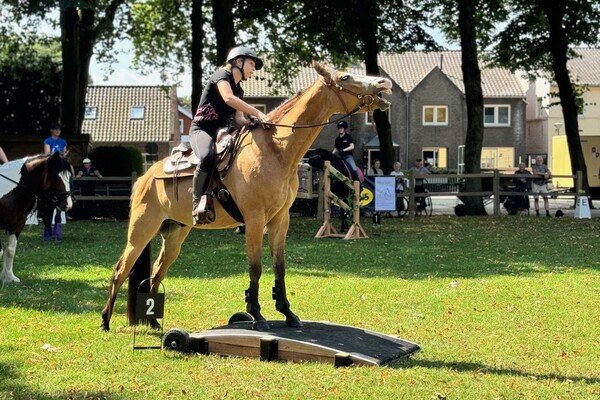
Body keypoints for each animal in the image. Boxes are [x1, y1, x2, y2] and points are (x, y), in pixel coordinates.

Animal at [0, 152, 73, 282]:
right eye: (57, 177)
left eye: (69, 176)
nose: (68, 205)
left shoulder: (17, 225)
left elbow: (10, 250)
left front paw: (9, 277)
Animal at [101, 61, 392, 332]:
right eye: (346, 76)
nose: (383, 82)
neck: (276, 149)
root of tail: (144, 177)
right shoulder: (254, 220)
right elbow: (255, 267)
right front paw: (257, 315)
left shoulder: (280, 220)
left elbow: (279, 266)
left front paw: (287, 312)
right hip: (141, 232)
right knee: (120, 270)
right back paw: (105, 320)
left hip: (174, 235)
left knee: (155, 274)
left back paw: (152, 323)